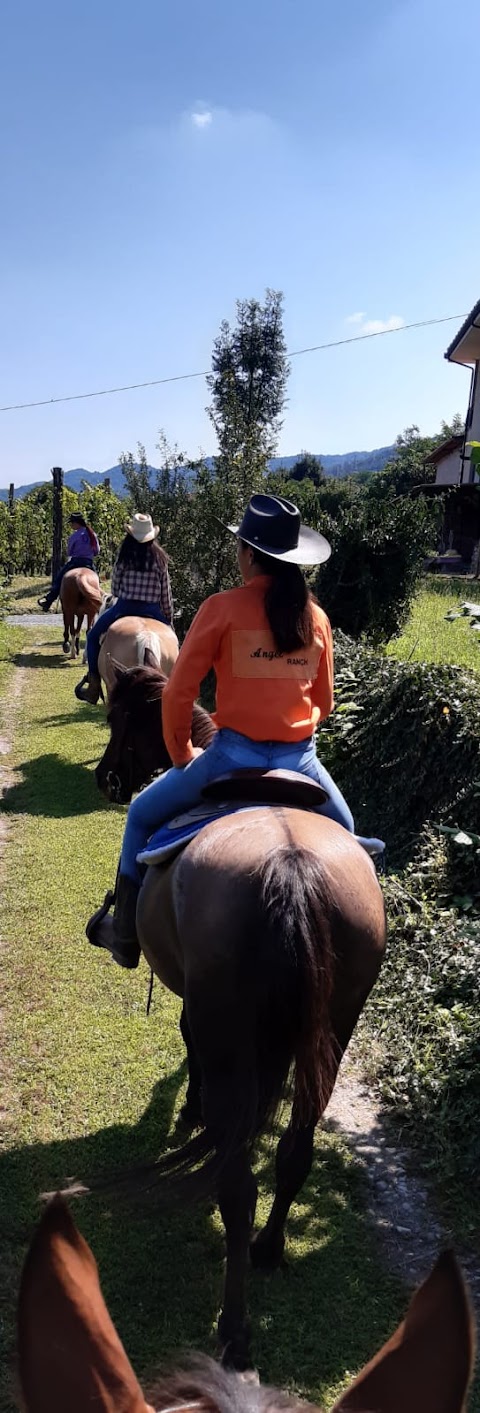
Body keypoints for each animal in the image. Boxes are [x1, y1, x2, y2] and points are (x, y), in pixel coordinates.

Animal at [91, 666, 386, 1362]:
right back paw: (269, 1249)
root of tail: (292, 866)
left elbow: (186, 1040)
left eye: (122, 717)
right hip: (335, 1025)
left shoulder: (197, 1002)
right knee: (294, 1150)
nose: (107, 780)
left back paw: (234, 1327)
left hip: (231, 1023)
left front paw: (191, 1107)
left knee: (237, 1183)